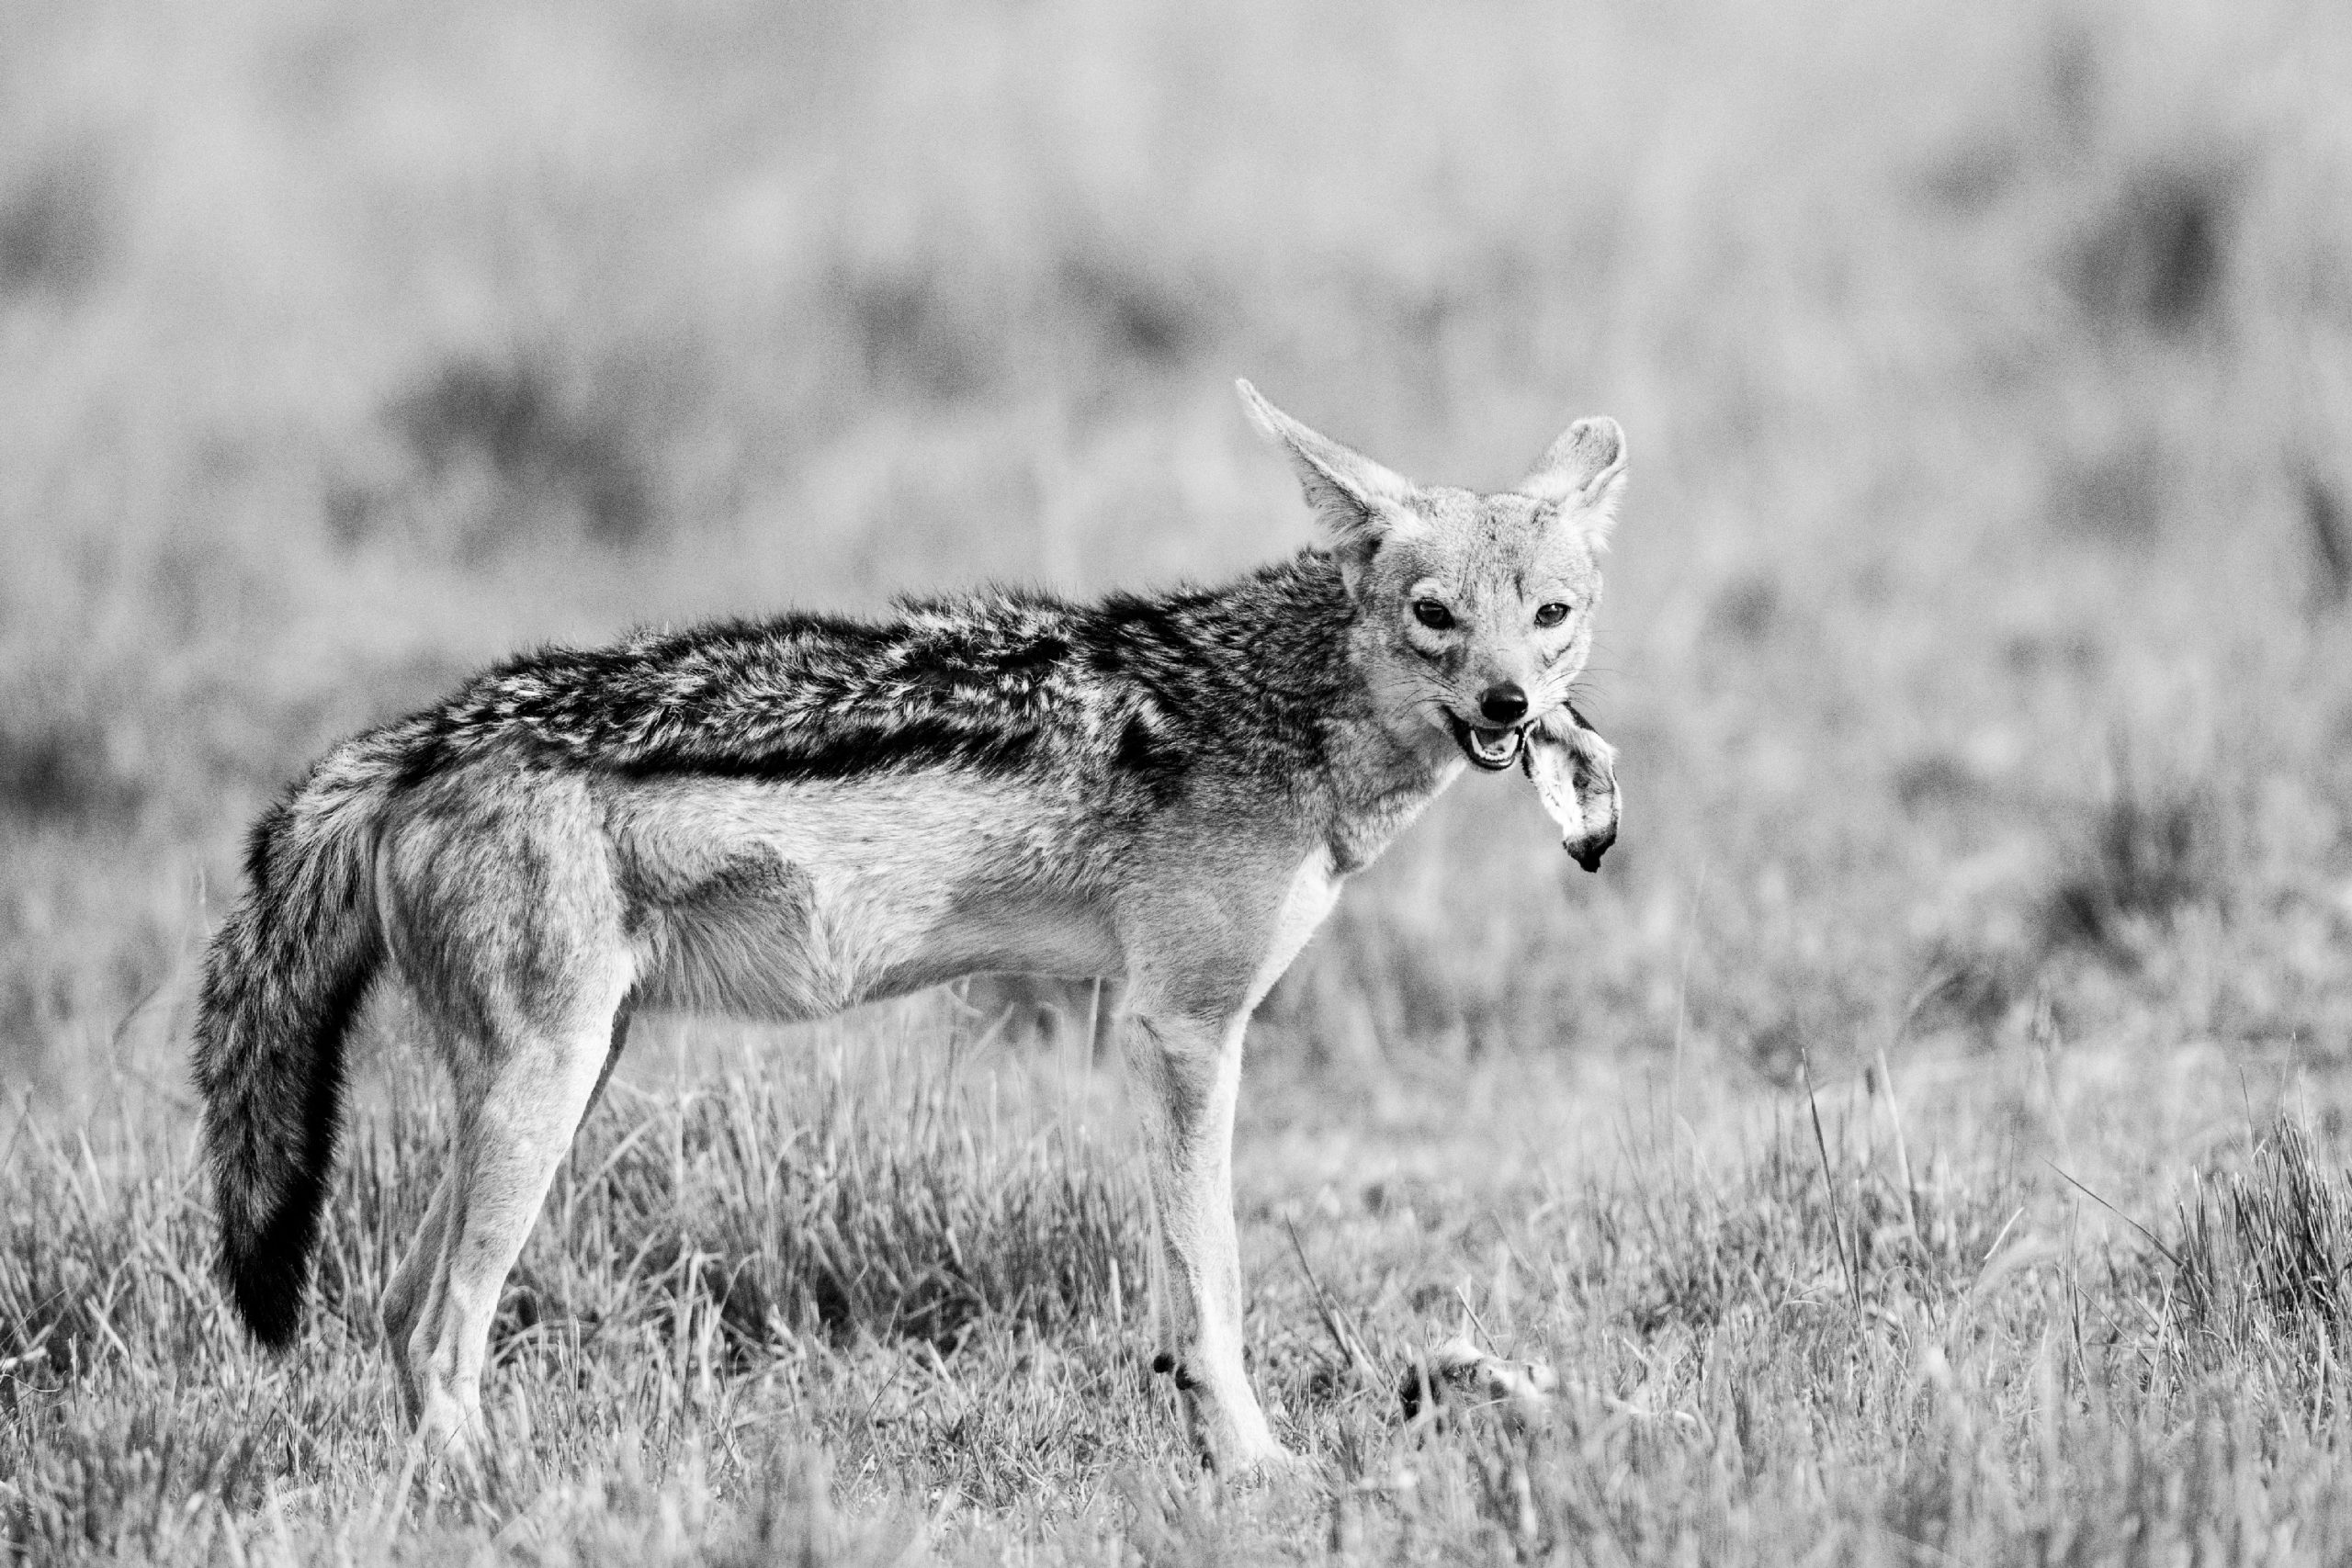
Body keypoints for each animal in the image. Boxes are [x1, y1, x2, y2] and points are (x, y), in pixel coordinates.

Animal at [191, 379, 1626, 1475]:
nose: (1509, 705)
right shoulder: (1185, 1029)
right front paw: (1255, 1463)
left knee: (394, 1308)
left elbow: (1180, 1295)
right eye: (1435, 615)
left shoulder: (1160, 1031)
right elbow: (1213, 1282)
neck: (1274, 708)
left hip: (564, 1077)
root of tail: (424, 733)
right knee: (440, 1326)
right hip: (541, 1093)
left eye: (1550, 616)